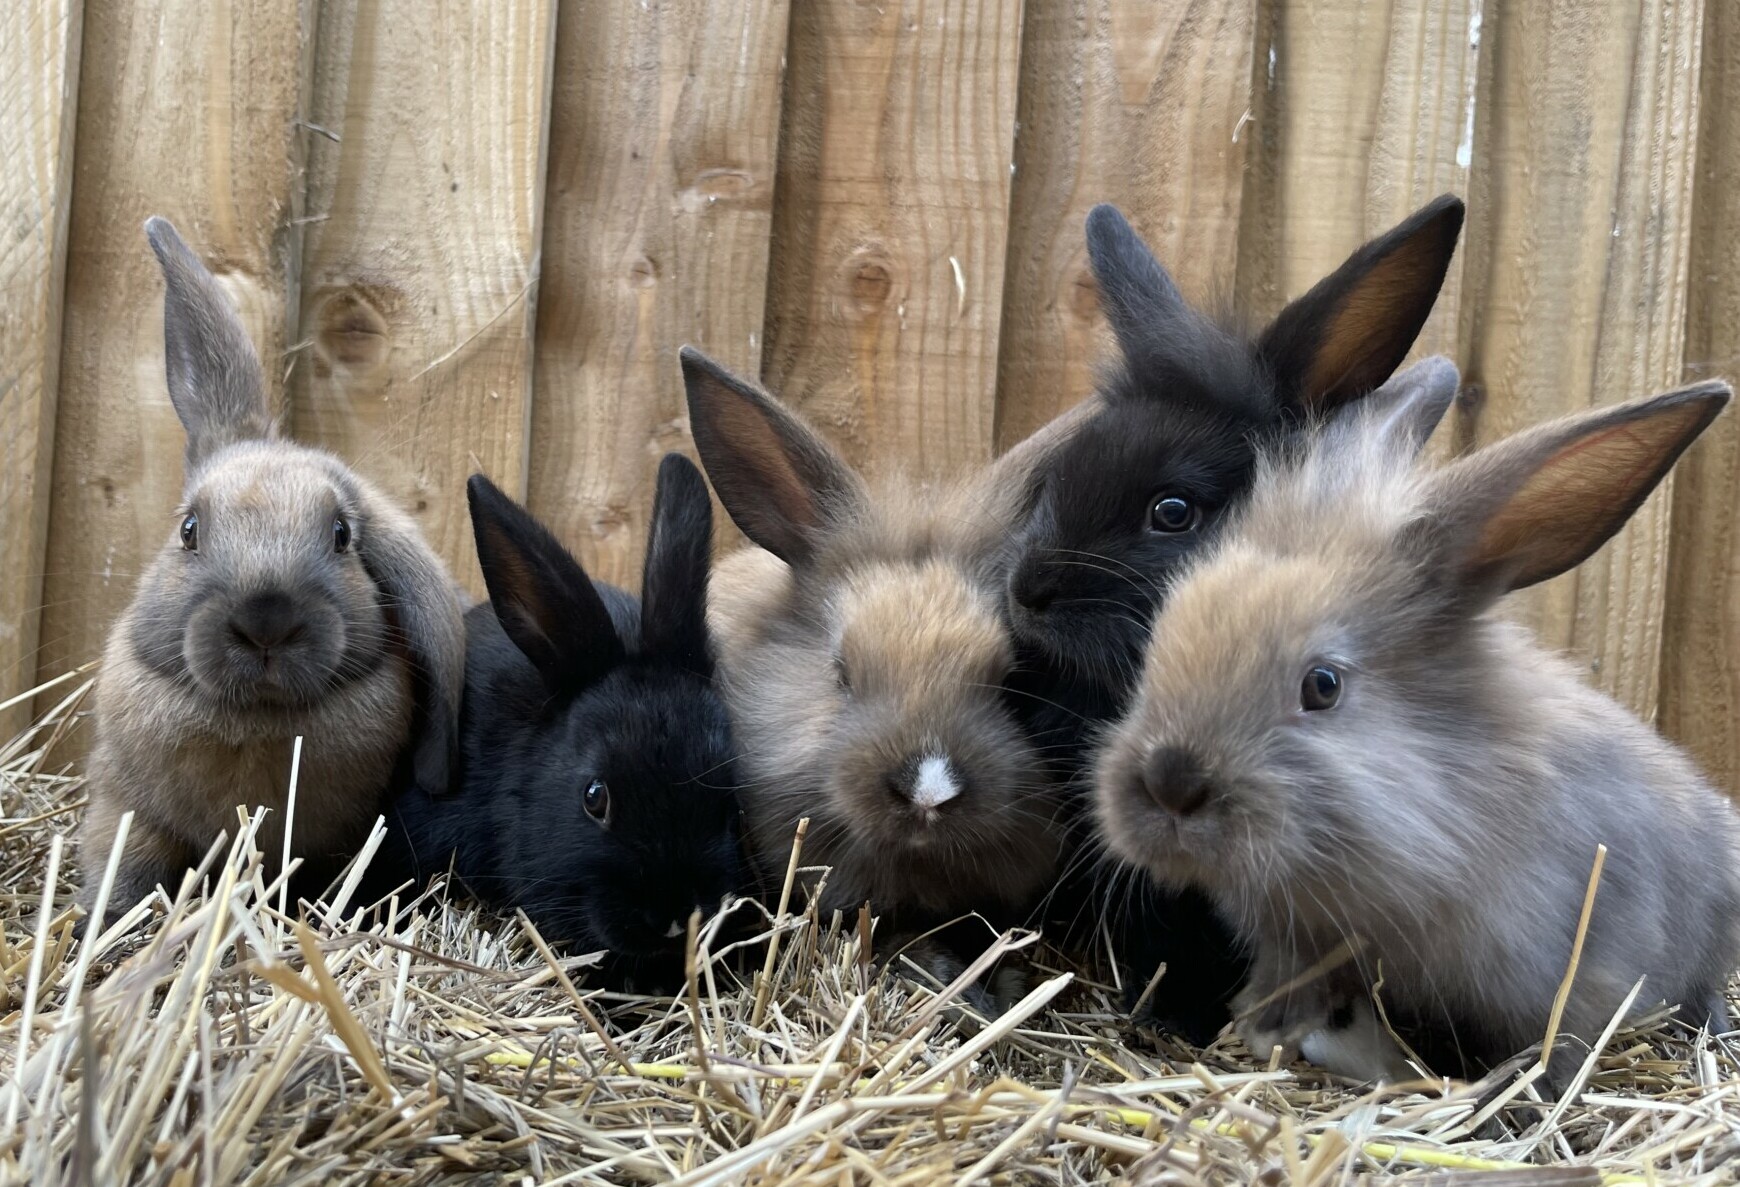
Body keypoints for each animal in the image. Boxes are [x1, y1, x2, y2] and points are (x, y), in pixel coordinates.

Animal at [77, 218, 465, 925]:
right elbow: (126, 869)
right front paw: (106, 924)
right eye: (189, 530)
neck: (252, 721)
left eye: (341, 535)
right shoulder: (124, 811)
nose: (266, 619)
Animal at [1094, 360, 1740, 1084]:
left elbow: (1563, 1043)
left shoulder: (1583, 968)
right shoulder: (1296, 946)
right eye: (1157, 647)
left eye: (1323, 685)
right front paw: (1264, 1028)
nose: (1170, 782)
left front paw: (1522, 1094)